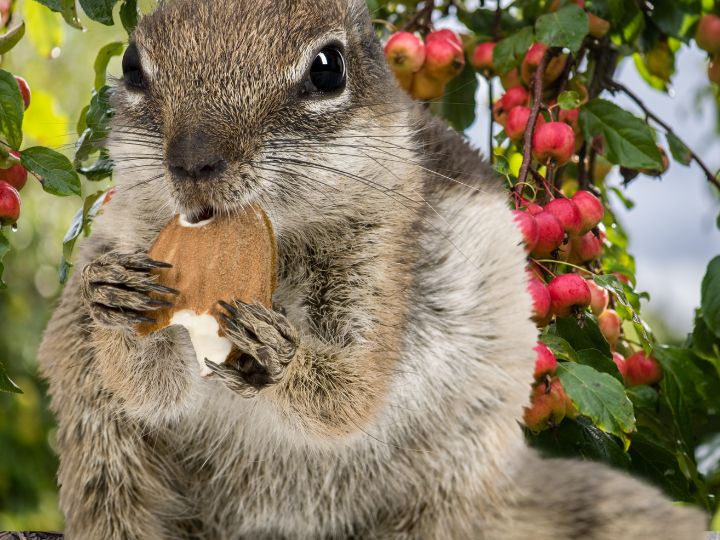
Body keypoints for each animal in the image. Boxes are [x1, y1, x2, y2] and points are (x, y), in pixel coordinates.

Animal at [36, 1, 704, 540]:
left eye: (327, 69)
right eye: (131, 65)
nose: (193, 162)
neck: (277, 247)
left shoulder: (383, 258)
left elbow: (350, 393)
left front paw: (280, 357)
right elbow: (150, 388)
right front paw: (118, 298)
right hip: (105, 453)